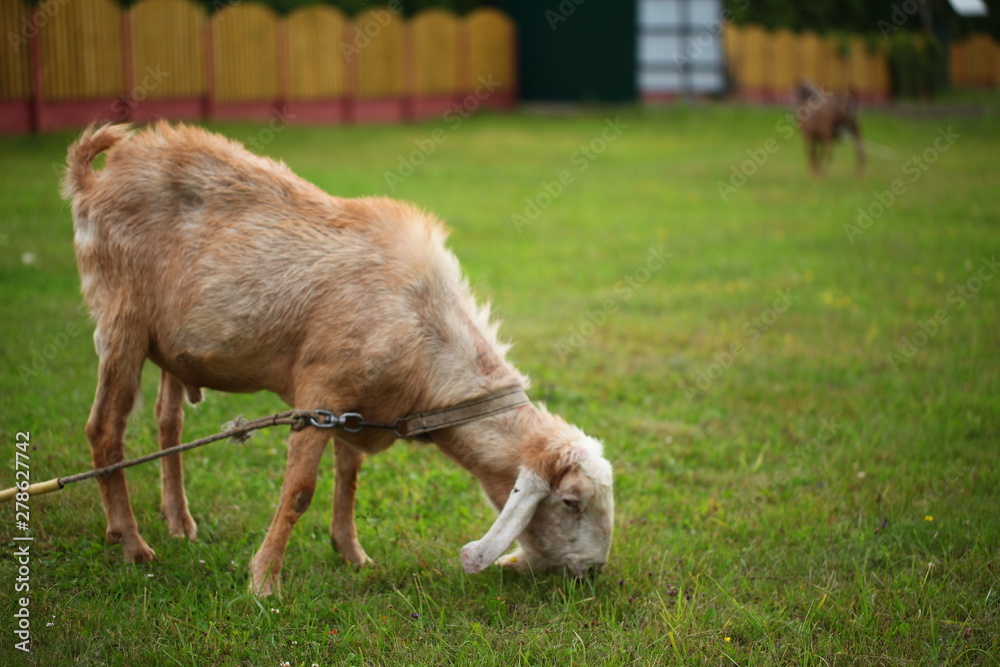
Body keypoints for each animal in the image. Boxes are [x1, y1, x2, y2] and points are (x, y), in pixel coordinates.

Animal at [62, 122, 614, 596]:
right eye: (571, 501)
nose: (591, 571)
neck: (422, 322)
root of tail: (95, 177)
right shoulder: (320, 392)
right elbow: (300, 491)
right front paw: (264, 581)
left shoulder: (357, 404)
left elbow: (348, 477)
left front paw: (351, 553)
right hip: (121, 321)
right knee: (105, 430)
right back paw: (133, 544)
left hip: (168, 345)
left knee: (167, 422)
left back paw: (177, 522)